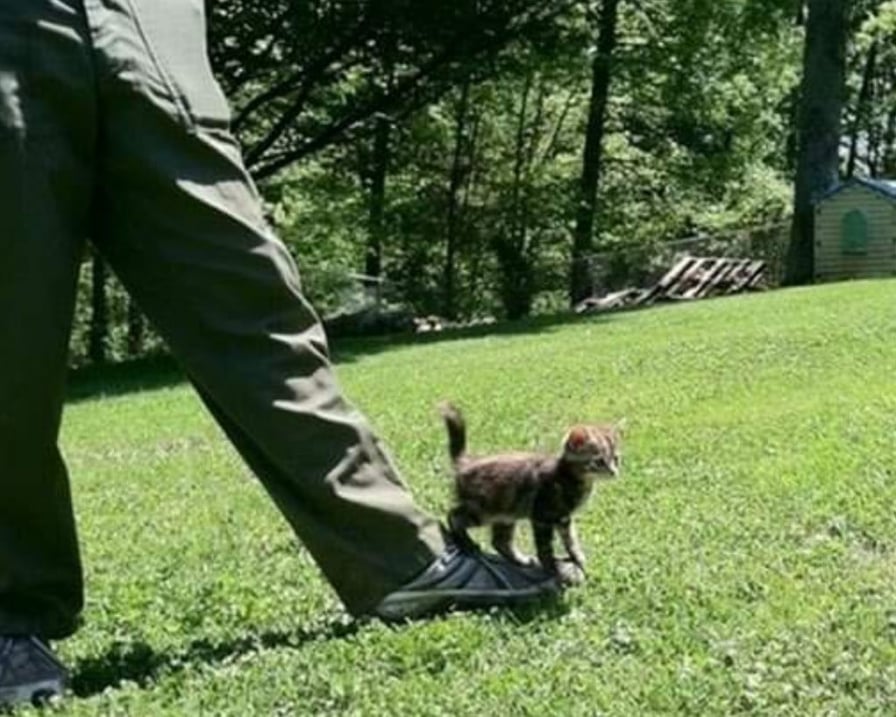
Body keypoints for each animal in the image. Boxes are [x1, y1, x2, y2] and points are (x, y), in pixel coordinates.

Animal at [436, 400, 620, 584]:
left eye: (616, 459)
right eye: (599, 461)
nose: (614, 471)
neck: (568, 477)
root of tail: (465, 463)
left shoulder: (563, 518)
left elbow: (570, 539)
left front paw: (577, 557)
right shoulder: (542, 516)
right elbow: (545, 547)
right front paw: (554, 569)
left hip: (506, 513)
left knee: (500, 542)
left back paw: (521, 560)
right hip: (484, 510)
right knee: (454, 516)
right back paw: (467, 544)